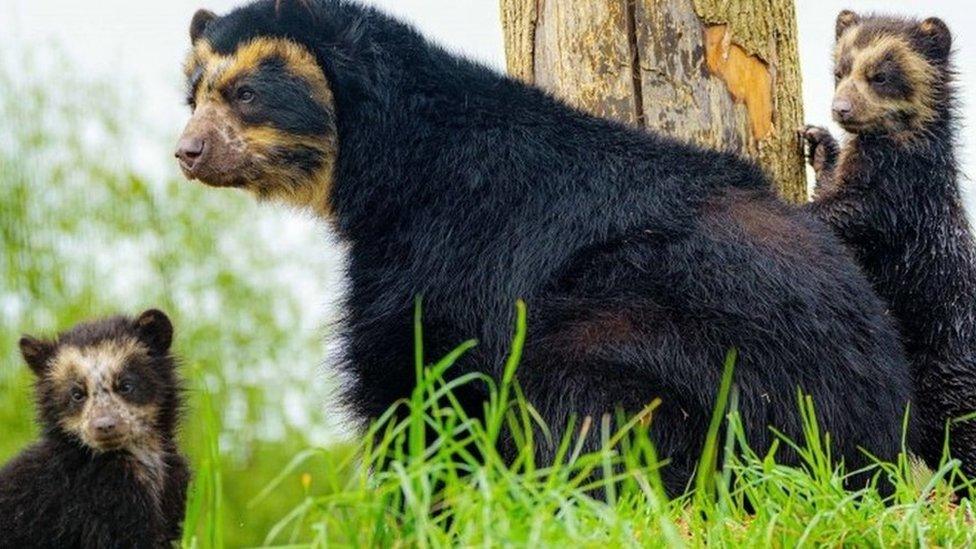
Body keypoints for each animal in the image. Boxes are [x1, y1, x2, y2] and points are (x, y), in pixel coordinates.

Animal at [179, 0, 912, 496]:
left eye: (245, 93)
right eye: (192, 96)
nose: (188, 152)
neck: (388, 160)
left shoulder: (442, 241)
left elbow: (412, 370)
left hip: (669, 344)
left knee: (582, 405)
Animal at [800, 11, 976, 480]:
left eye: (880, 75)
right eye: (840, 70)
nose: (840, 110)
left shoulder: (898, 201)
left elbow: (847, 217)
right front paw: (819, 145)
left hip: (946, 367)